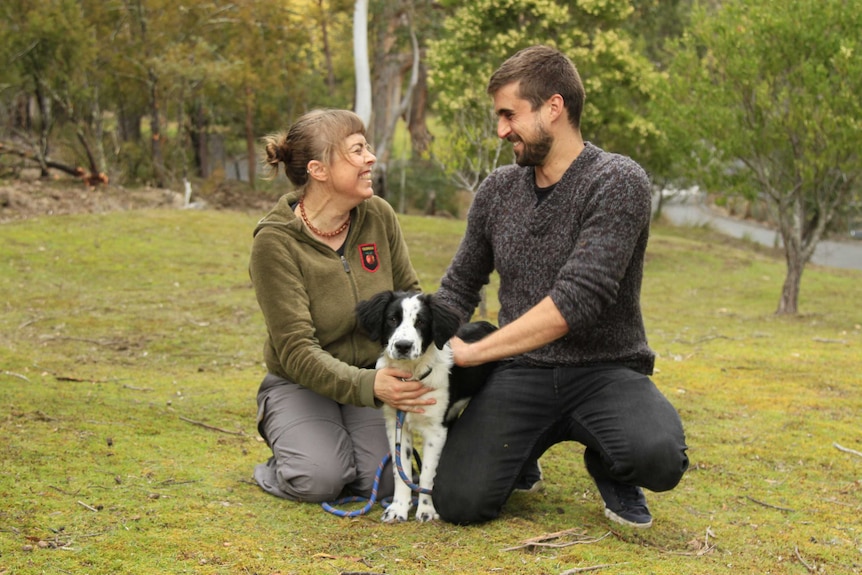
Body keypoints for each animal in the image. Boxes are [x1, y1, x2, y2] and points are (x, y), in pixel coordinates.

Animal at [354, 292, 496, 520]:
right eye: (392, 319)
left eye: (421, 322)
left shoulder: (436, 430)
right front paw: (398, 508)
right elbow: (399, 470)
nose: (403, 346)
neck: (411, 374)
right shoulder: (397, 425)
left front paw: (427, 510)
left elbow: (429, 473)